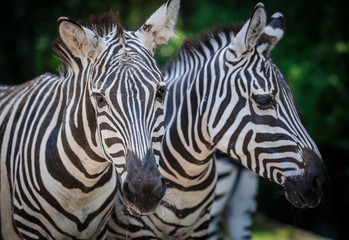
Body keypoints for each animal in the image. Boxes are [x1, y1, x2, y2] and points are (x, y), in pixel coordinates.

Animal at [0, 0, 179, 239]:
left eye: (161, 92)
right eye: (99, 98)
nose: (145, 191)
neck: (83, 186)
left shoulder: (99, 231)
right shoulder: (31, 229)